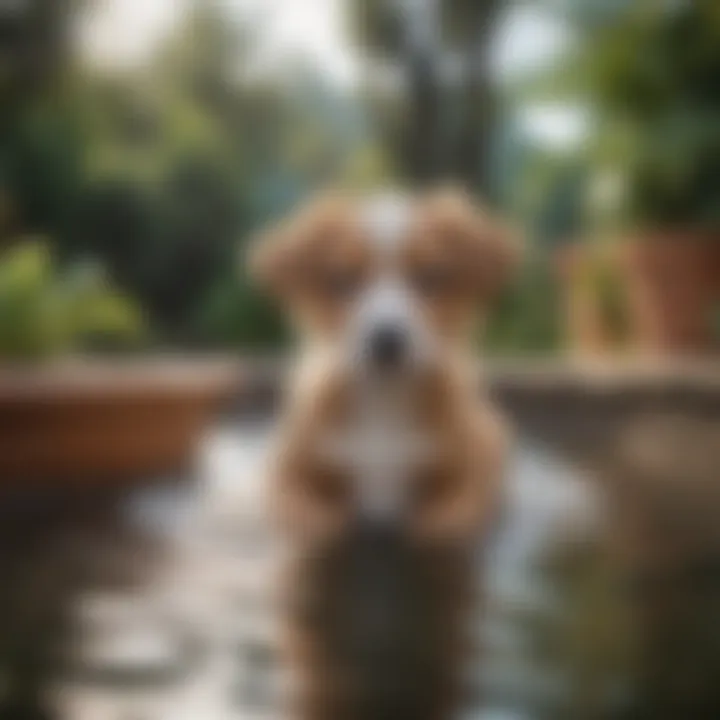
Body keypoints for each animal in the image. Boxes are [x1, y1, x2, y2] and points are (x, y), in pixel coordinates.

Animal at [250, 187, 516, 720]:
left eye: (433, 276)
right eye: (341, 280)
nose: (386, 339)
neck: (383, 403)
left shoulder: (471, 483)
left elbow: (448, 524)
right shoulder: (285, 478)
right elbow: (311, 522)